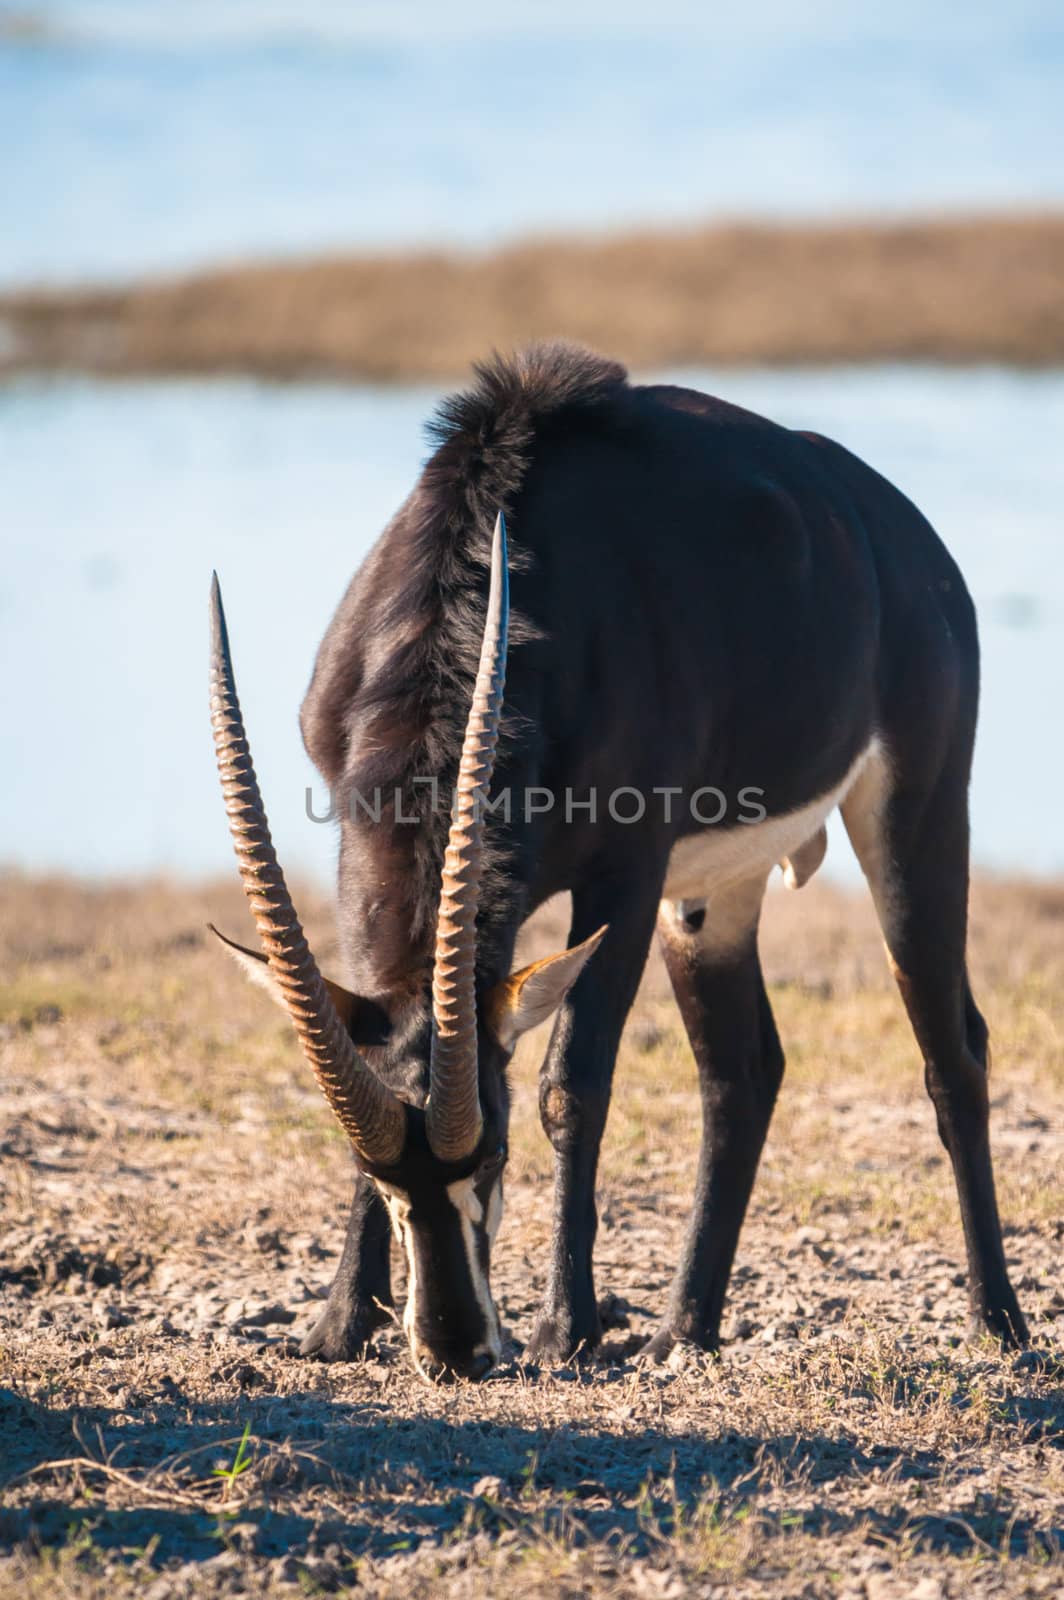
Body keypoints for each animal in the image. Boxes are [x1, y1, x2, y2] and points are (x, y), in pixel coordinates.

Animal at [209, 344, 1030, 1382]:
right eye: (382, 1172)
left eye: (492, 1155)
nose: (455, 1347)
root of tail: (905, 538)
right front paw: (336, 1326)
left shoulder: (626, 874)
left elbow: (573, 1084)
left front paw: (565, 1329)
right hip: (712, 896)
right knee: (742, 1071)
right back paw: (687, 1328)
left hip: (913, 812)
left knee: (952, 1049)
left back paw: (998, 1323)